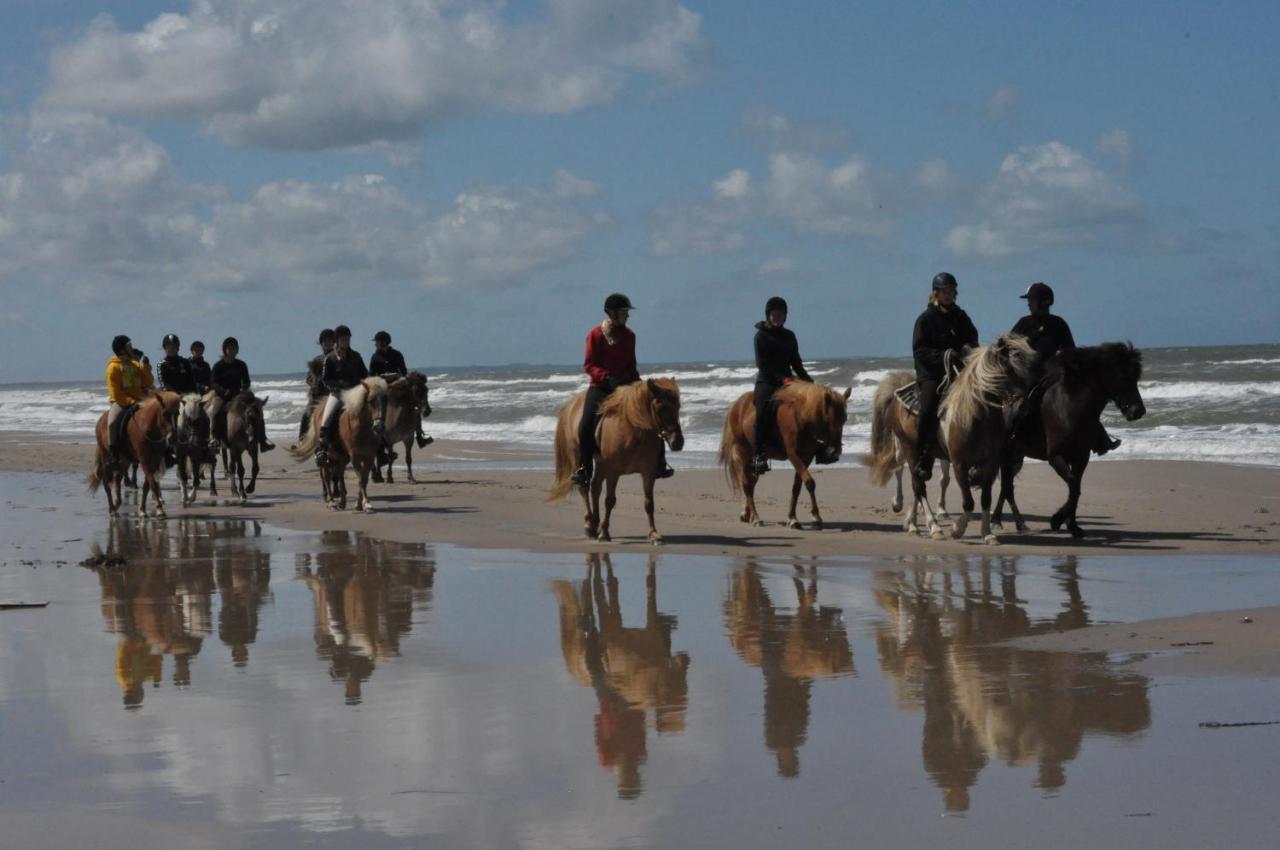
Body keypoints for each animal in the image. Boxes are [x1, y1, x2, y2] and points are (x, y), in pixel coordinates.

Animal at [294, 376, 389, 512]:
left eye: (386, 400)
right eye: (370, 401)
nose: (379, 427)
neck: (362, 428)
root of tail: (318, 409)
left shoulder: (369, 456)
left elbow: (363, 479)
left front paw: (361, 504)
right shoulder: (355, 456)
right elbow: (360, 479)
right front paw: (365, 503)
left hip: (341, 457)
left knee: (339, 474)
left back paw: (342, 502)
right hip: (326, 457)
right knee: (326, 476)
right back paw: (331, 502)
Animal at [552, 378, 691, 545]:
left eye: (678, 406)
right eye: (660, 407)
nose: (678, 442)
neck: (633, 433)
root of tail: (572, 403)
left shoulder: (648, 472)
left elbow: (649, 503)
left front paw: (653, 534)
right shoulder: (613, 472)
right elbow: (610, 501)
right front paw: (605, 533)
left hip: (601, 466)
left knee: (595, 488)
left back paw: (595, 524)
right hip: (580, 459)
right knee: (584, 488)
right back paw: (590, 524)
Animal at [721, 381, 849, 527]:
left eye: (845, 419)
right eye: (828, 418)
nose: (835, 451)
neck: (801, 417)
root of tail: (736, 404)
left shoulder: (806, 457)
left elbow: (797, 487)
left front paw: (793, 517)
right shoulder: (794, 455)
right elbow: (810, 482)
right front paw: (815, 516)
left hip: (753, 462)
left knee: (751, 483)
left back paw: (746, 514)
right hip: (744, 452)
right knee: (747, 485)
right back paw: (756, 518)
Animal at [865, 332, 1034, 540]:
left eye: (1027, 372)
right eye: (1008, 370)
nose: (1022, 406)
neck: (976, 415)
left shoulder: (991, 464)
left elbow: (986, 499)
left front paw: (987, 534)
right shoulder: (960, 464)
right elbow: (968, 502)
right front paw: (957, 529)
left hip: (925, 456)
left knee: (917, 484)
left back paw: (913, 523)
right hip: (910, 449)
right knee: (917, 485)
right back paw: (933, 527)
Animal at [988, 340, 1152, 535]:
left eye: (1135, 378)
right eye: (1123, 377)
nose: (1138, 411)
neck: (1069, 408)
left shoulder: (1081, 458)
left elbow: (1076, 487)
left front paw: (1072, 525)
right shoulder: (1056, 457)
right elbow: (1073, 485)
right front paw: (1057, 520)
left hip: (1015, 458)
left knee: (1006, 487)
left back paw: (1003, 521)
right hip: (1006, 457)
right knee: (1007, 488)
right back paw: (1013, 523)